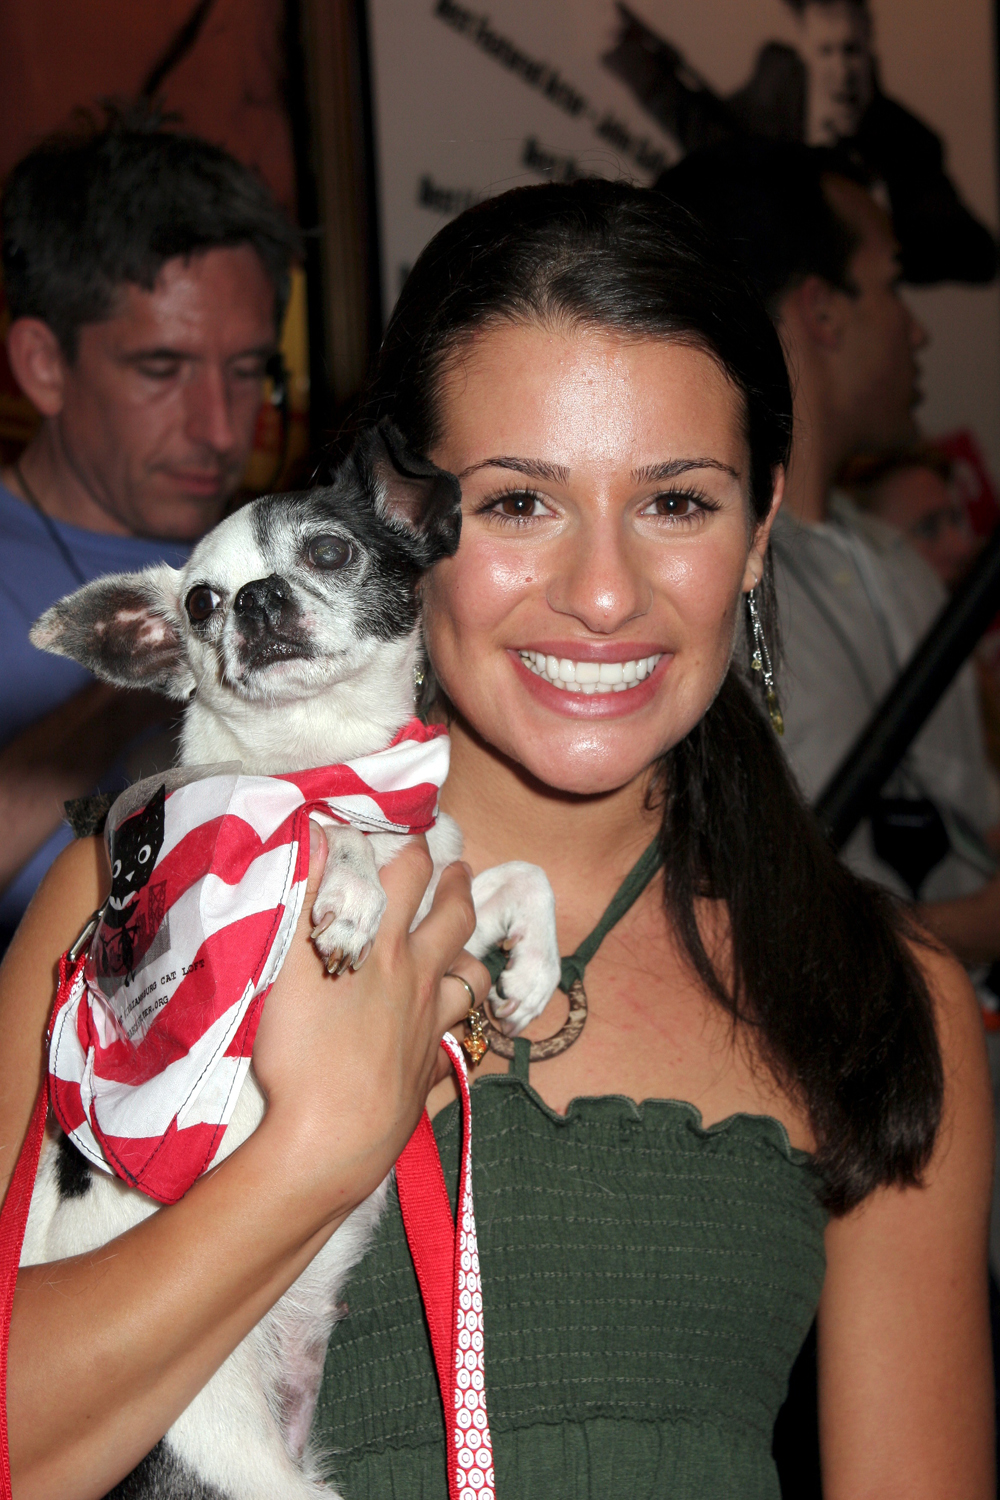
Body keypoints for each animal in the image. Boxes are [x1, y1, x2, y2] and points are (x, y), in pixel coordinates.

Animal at [23, 423, 560, 1500]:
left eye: (328, 550)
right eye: (199, 602)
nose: (256, 599)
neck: (328, 756)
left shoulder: (437, 878)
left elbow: (504, 873)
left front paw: (533, 968)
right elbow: (323, 829)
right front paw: (346, 882)